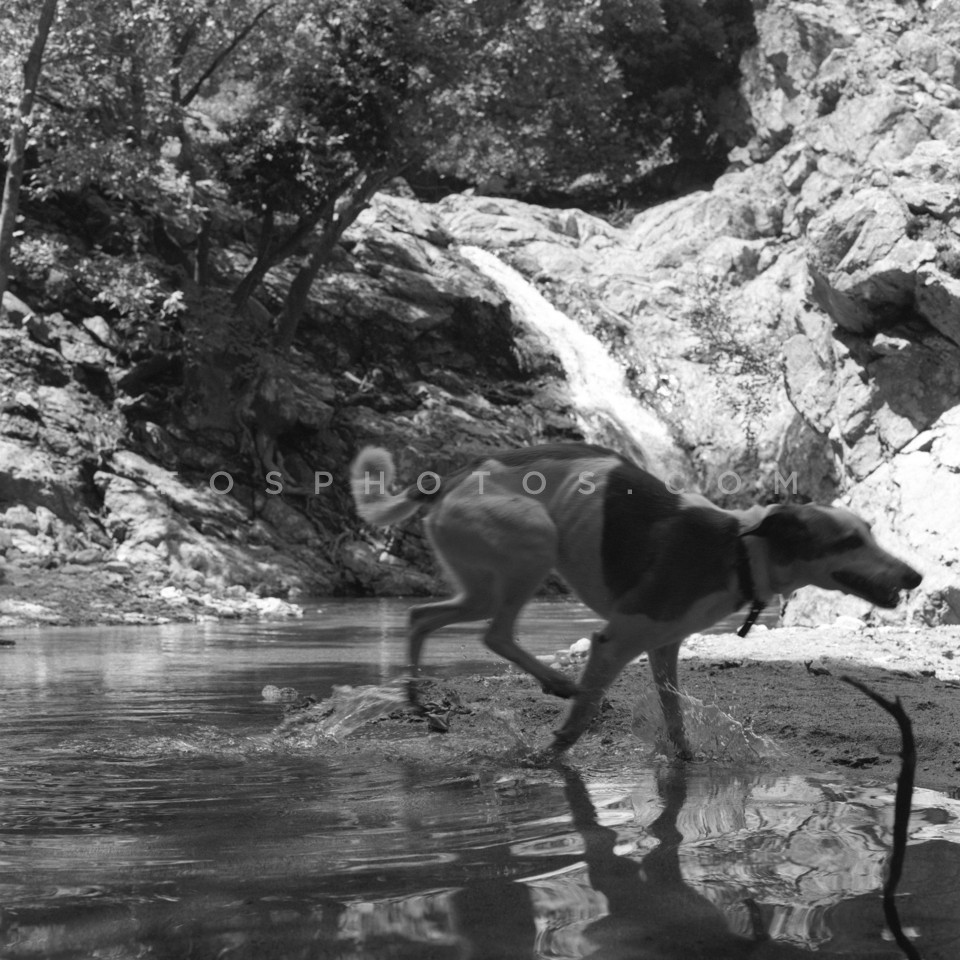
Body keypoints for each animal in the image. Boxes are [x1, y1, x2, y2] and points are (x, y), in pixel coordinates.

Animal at [350, 442, 922, 756]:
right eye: (848, 541)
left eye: (870, 532)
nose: (915, 576)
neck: (739, 549)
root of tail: (448, 479)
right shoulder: (616, 639)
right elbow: (578, 723)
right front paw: (545, 760)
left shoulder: (662, 646)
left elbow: (675, 720)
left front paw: (686, 763)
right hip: (531, 546)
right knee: (495, 633)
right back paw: (557, 682)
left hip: (482, 583)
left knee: (422, 616)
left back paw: (418, 701)